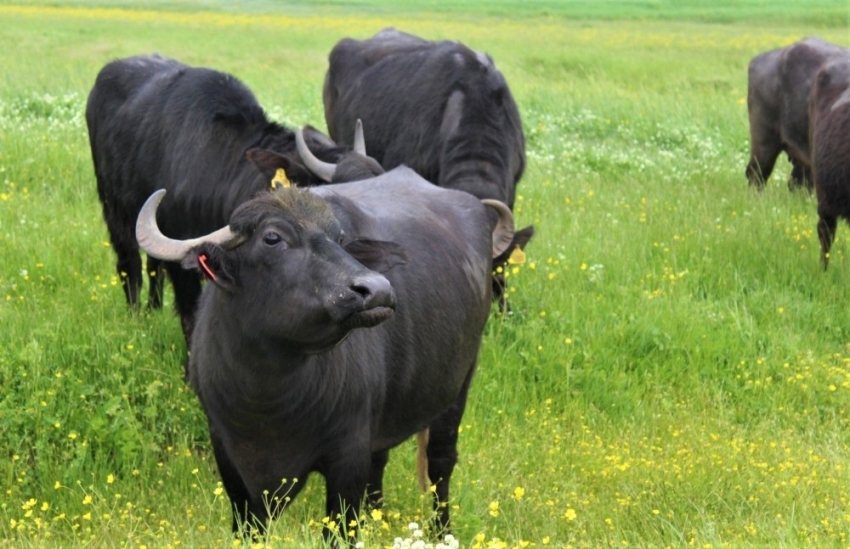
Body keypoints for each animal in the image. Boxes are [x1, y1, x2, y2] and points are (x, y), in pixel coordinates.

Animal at [84, 52, 382, 342]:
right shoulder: (184, 262)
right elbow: (191, 318)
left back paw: (152, 310)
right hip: (114, 209)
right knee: (130, 265)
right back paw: (137, 317)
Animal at [136, 166, 512, 540]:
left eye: (341, 239)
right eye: (272, 238)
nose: (376, 290)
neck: (267, 399)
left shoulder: (348, 455)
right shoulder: (228, 457)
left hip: (459, 382)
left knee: (440, 462)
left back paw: (441, 531)